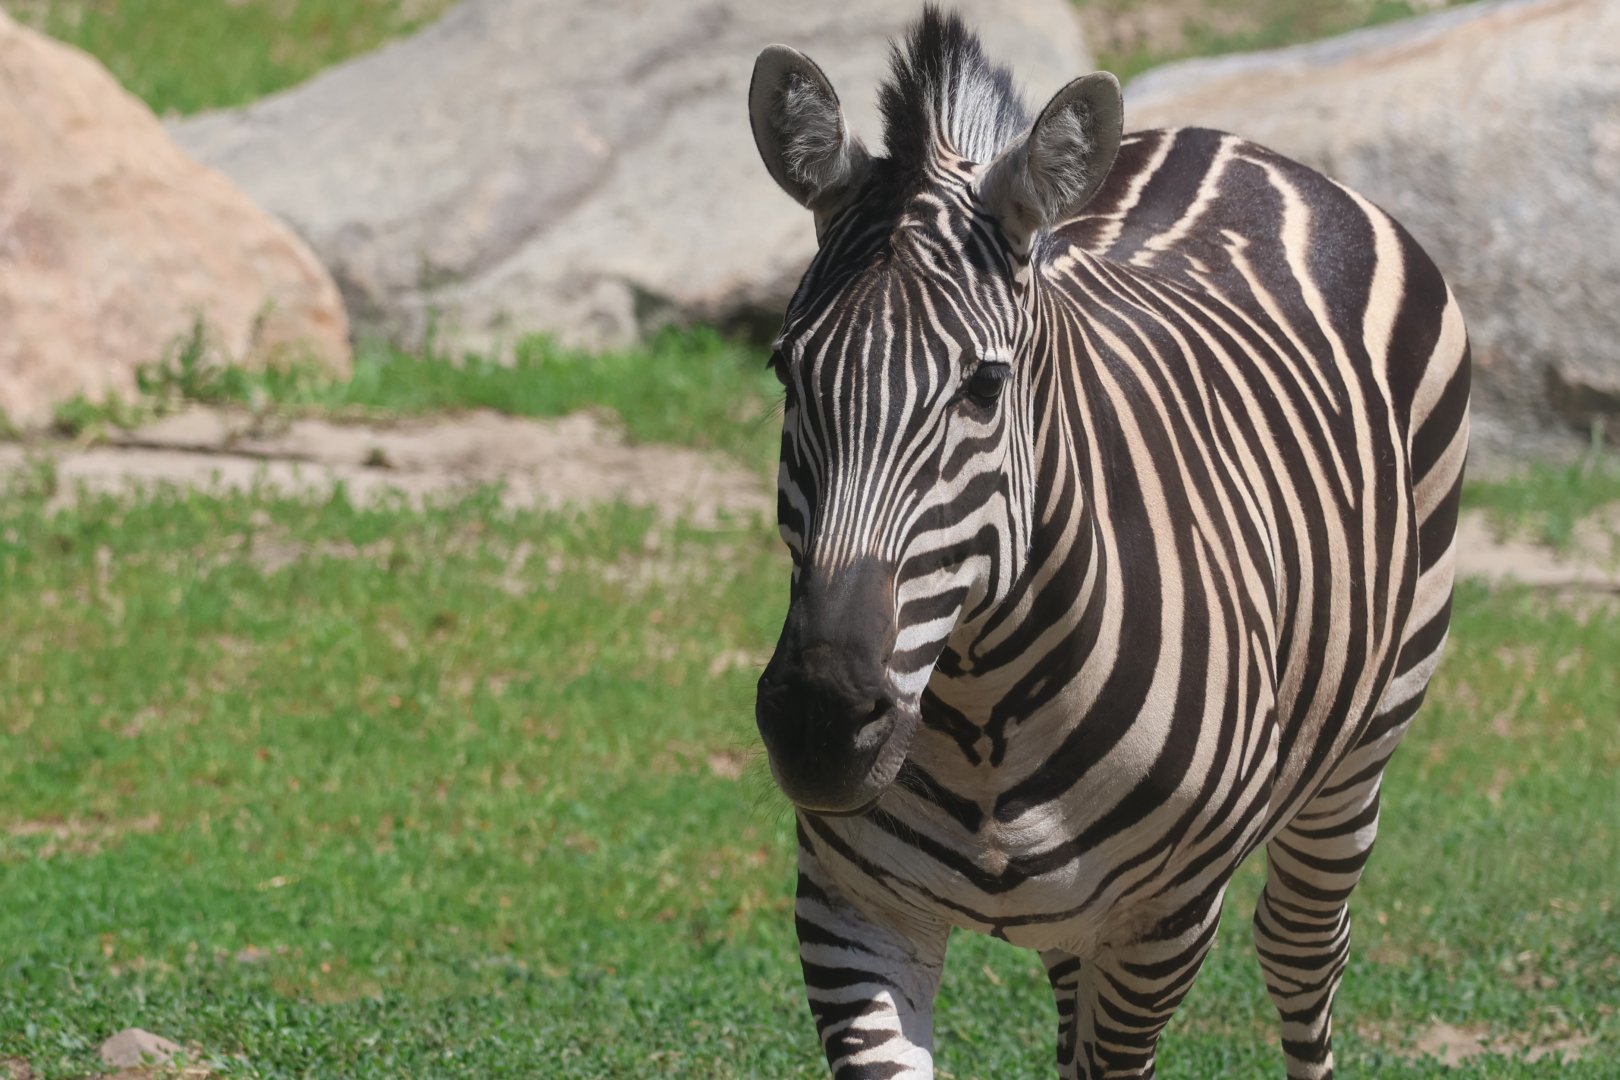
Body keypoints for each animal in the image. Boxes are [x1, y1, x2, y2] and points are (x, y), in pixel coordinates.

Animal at [747, 7, 1469, 1079]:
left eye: (983, 387)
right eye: (786, 372)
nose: (820, 724)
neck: (980, 703)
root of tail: (1237, 144)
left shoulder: (1163, 922)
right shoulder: (850, 910)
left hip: (1364, 745)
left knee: (1303, 952)